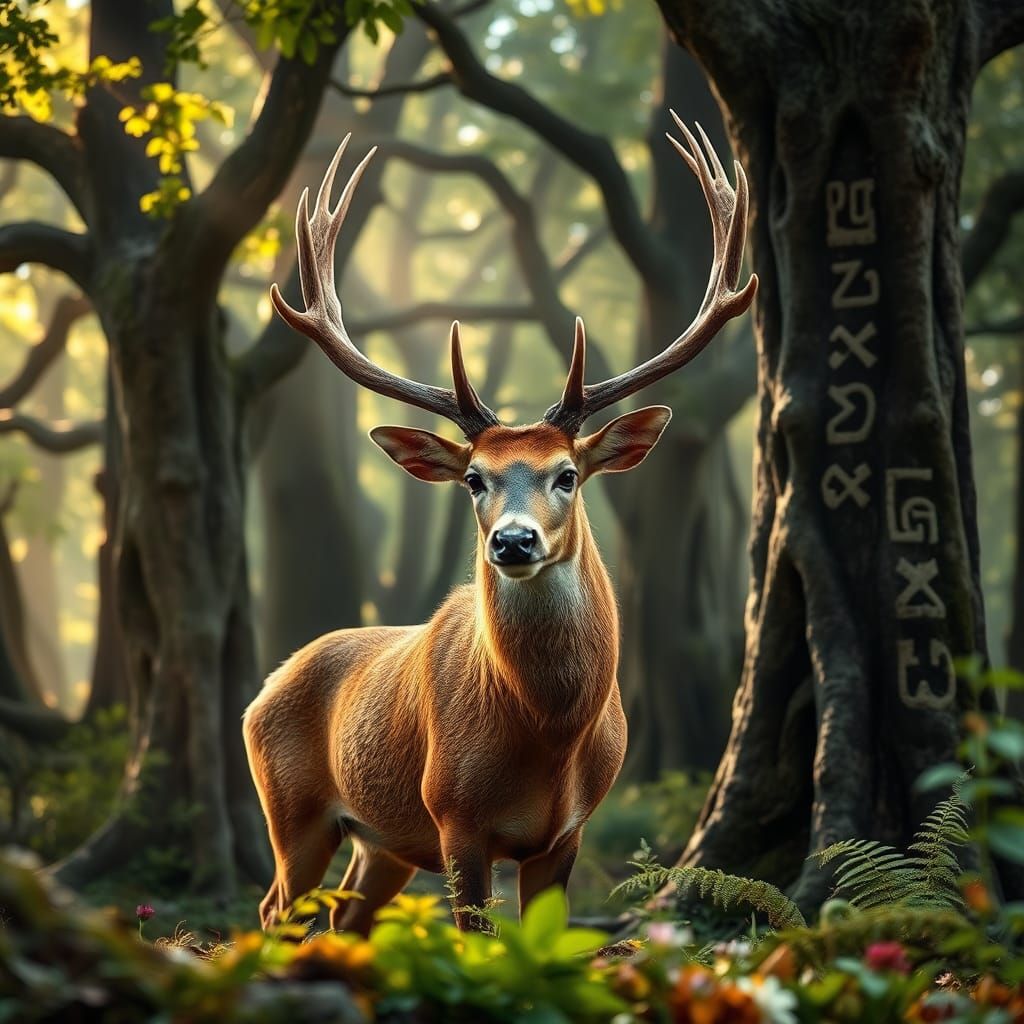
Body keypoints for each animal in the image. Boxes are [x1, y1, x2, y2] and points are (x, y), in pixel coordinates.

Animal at [243, 113, 757, 934]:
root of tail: (264, 687)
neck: (548, 739)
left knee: (343, 917)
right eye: (474, 479)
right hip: (293, 808)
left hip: (381, 843)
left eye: (568, 474)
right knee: (272, 908)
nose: (513, 540)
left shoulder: (568, 833)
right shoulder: (454, 816)